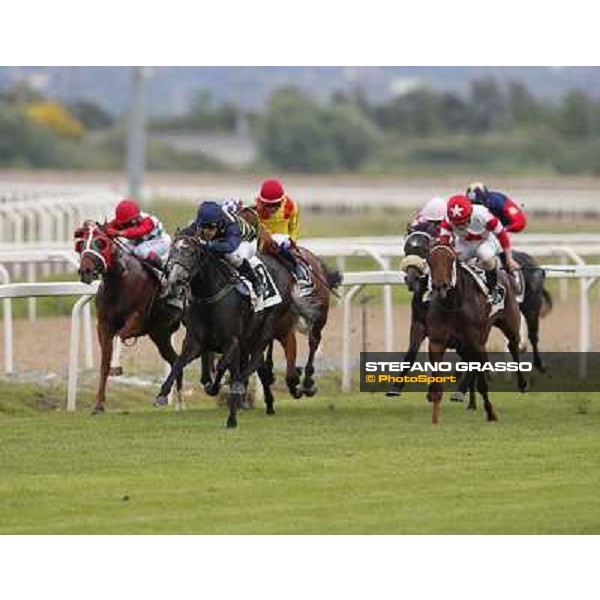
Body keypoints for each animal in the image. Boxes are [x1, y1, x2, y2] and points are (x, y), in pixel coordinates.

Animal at [75, 223, 183, 414]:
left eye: (101, 243)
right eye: (81, 245)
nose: (85, 271)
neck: (120, 280)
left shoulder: (137, 318)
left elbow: (121, 335)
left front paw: (116, 366)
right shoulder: (103, 324)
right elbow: (104, 364)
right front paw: (98, 404)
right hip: (160, 334)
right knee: (176, 360)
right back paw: (175, 402)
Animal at [154, 233, 318, 426]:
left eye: (192, 253)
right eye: (172, 250)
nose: (175, 279)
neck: (209, 297)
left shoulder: (232, 342)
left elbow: (222, 366)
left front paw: (219, 389)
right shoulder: (195, 342)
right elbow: (179, 363)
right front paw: (162, 394)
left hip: (268, 326)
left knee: (256, 359)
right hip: (251, 337)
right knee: (258, 364)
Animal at [424, 241, 528, 424]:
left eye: (451, 259)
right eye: (430, 260)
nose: (440, 286)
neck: (454, 305)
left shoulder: (477, 343)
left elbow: (482, 384)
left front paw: (491, 413)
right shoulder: (437, 343)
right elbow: (437, 383)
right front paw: (435, 418)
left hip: (510, 323)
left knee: (513, 346)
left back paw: (522, 384)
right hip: (464, 345)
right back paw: (469, 401)